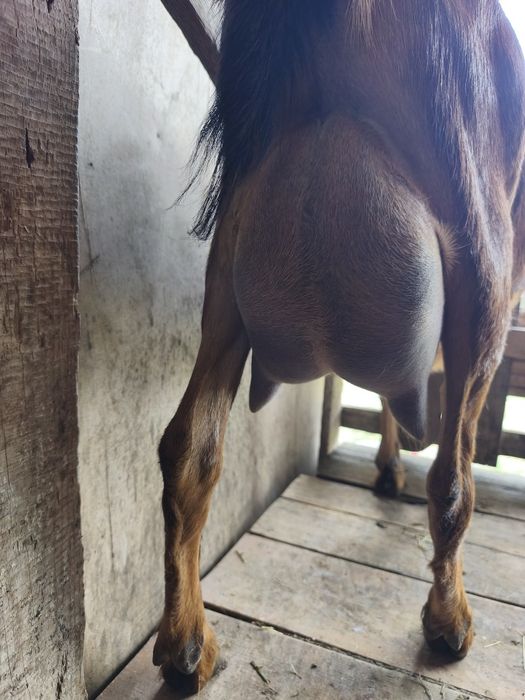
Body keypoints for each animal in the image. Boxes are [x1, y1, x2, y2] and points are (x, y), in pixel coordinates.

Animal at [153, 0, 525, 690]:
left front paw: (388, 465)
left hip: (230, 263)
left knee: (188, 446)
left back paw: (185, 643)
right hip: (481, 259)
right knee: (454, 479)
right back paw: (449, 619)